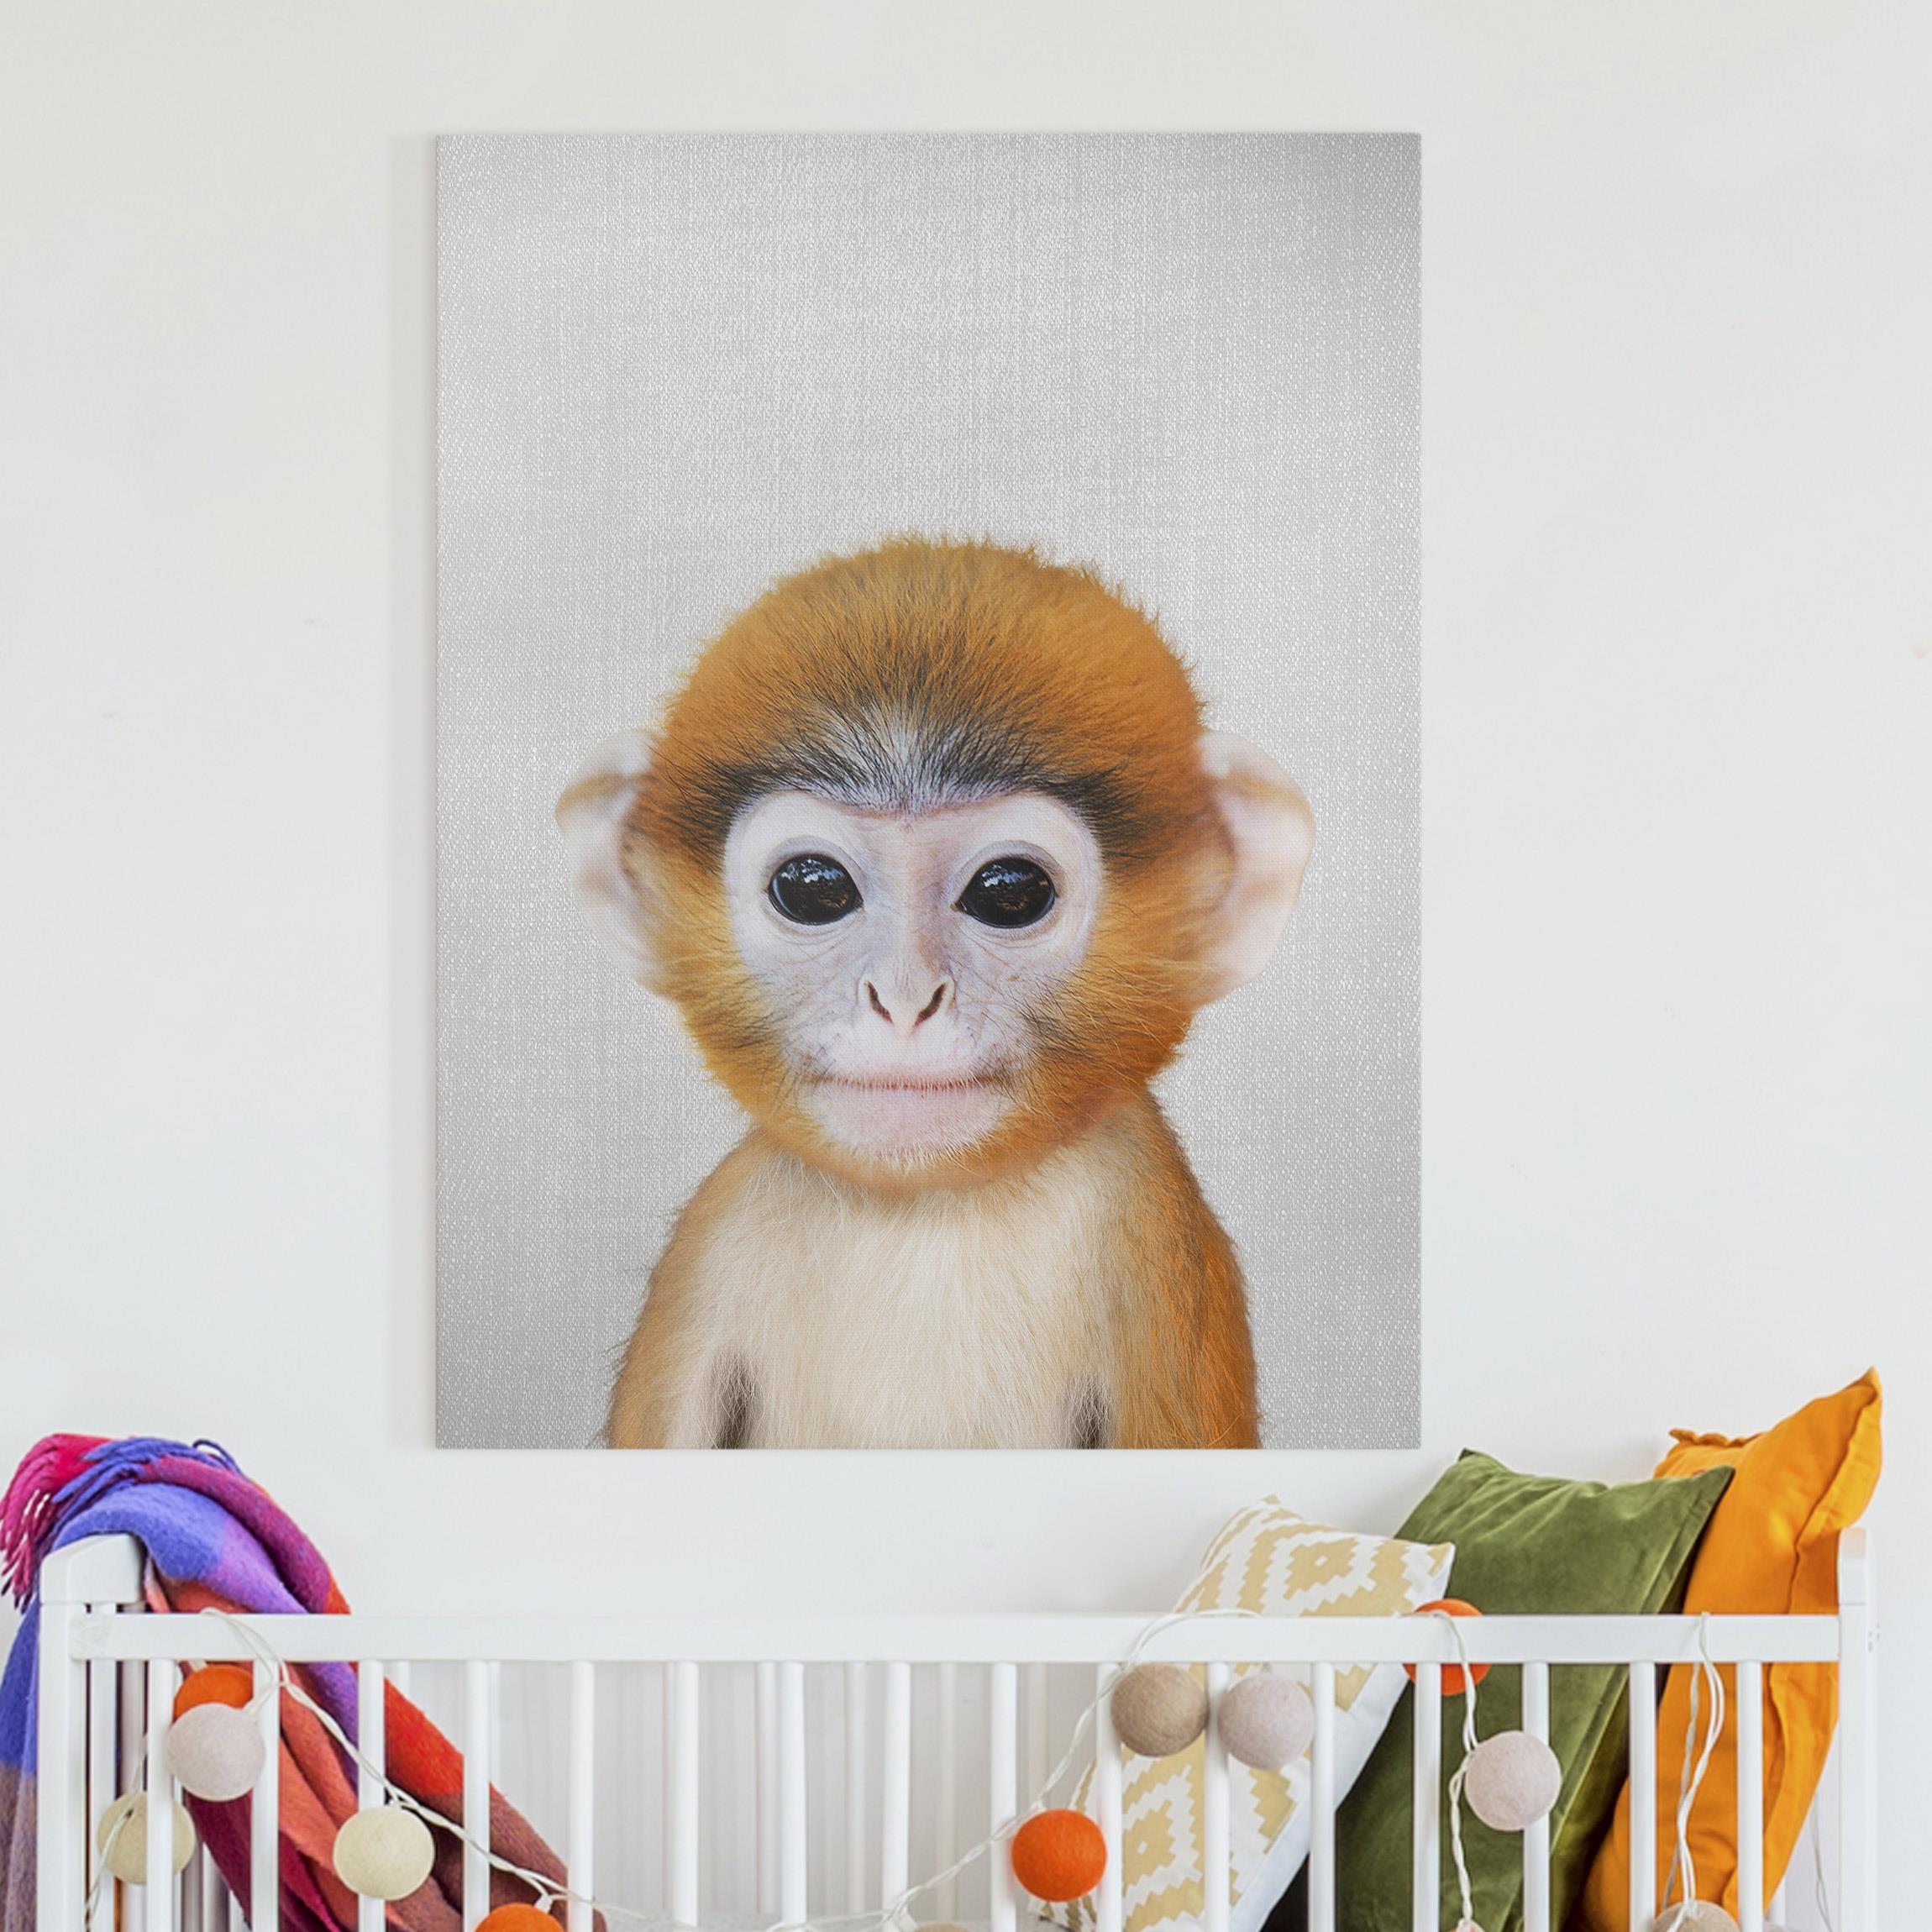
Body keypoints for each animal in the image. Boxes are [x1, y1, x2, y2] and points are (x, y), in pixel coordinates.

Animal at [557, 538, 1315, 1449]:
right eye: (812, 887)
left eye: (1010, 892)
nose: (905, 999)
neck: (924, 1210)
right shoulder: (707, 1254)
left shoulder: (1152, 1248)